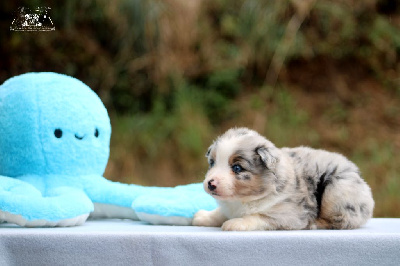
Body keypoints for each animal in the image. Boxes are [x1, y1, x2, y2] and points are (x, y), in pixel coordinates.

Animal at [192, 128, 374, 230]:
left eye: (237, 168)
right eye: (212, 163)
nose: (210, 184)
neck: (242, 200)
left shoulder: (287, 214)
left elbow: (258, 217)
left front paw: (235, 223)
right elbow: (220, 213)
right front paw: (203, 216)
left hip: (336, 190)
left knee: (344, 220)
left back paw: (316, 223)